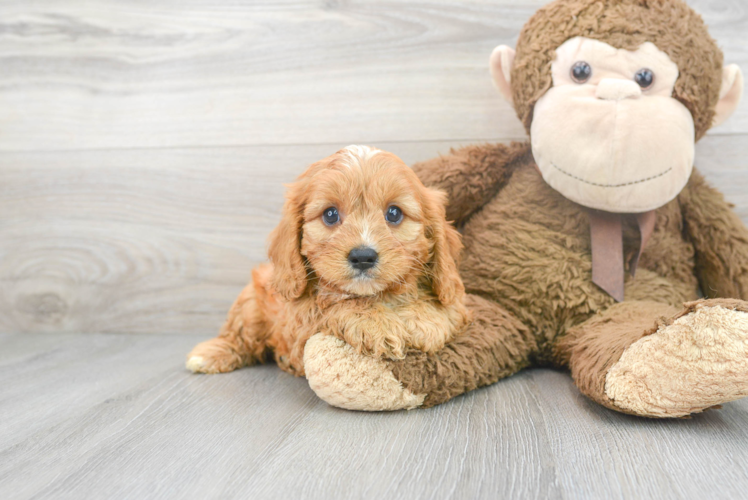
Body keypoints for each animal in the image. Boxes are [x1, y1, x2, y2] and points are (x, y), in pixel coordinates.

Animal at [186, 146, 468, 376]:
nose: (363, 257)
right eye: (330, 214)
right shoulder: (299, 324)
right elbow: (335, 306)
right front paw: (375, 324)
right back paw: (209, 354)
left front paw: (427, 320)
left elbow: (448, 307)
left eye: (394, 213)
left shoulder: (460, 304)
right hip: (250, 303)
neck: (376, 296)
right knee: (239, 337)